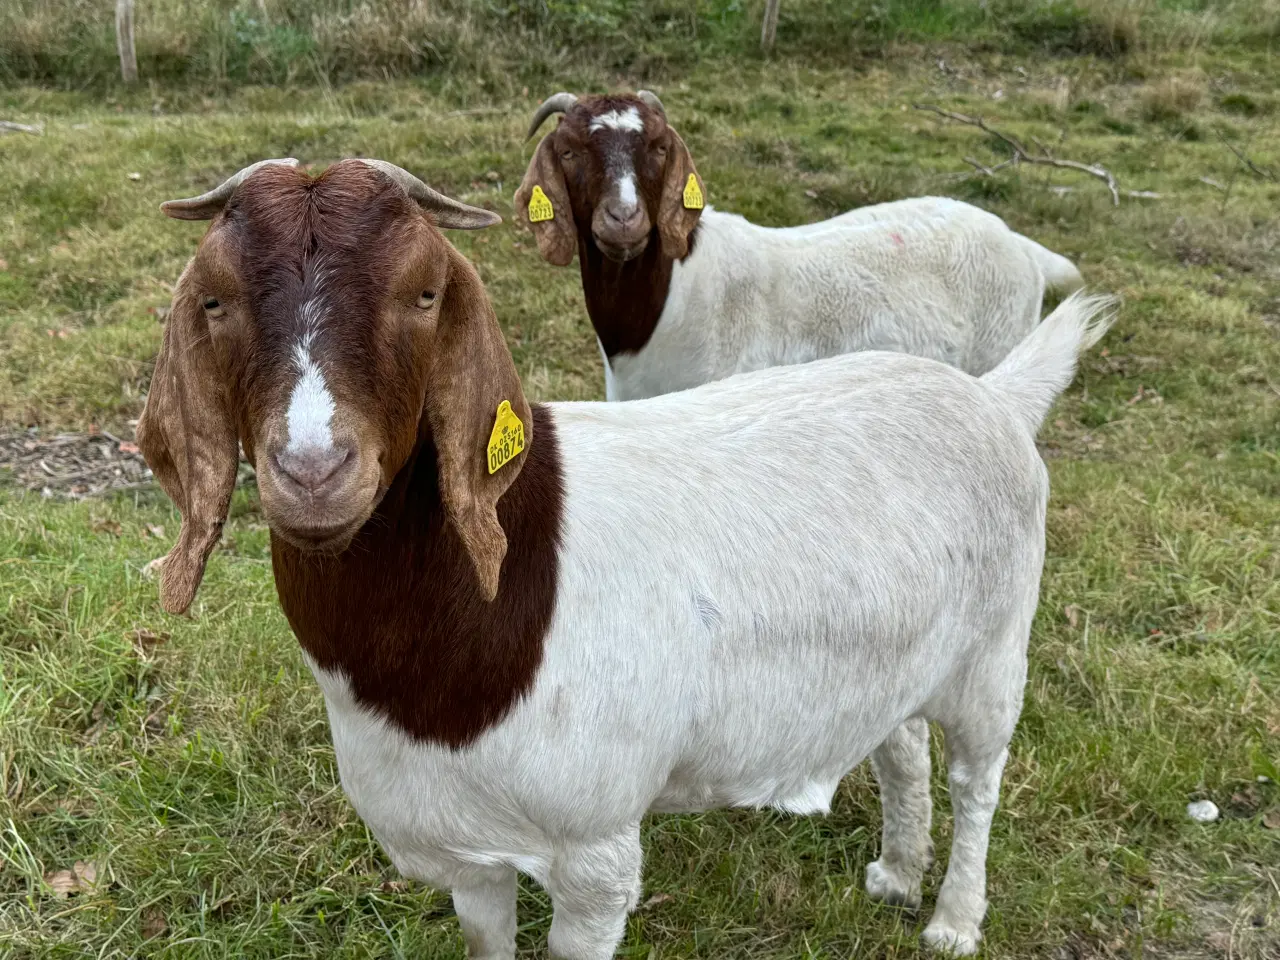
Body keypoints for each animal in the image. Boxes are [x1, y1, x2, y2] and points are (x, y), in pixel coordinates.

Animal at [137, 158, 1111, 960]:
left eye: (425, 294)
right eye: (215, 302)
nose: (313, 471)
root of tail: (994, 396)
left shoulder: (595, 852)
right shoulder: (468, 845)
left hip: (995, 650)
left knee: (977, 778)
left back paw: (953, 921)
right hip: (900, 651)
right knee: (901, 748)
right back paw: (898, 876)